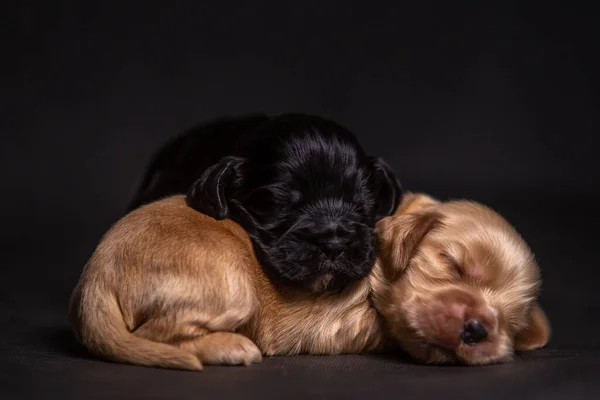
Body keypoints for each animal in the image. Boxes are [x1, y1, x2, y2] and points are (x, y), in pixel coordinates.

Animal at [69, 193, 548, 368]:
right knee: (154, 333)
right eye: (453, 265)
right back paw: (230, 347)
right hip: (233, 287)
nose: (479, 327)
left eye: (511, 321)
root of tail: (94, 279)